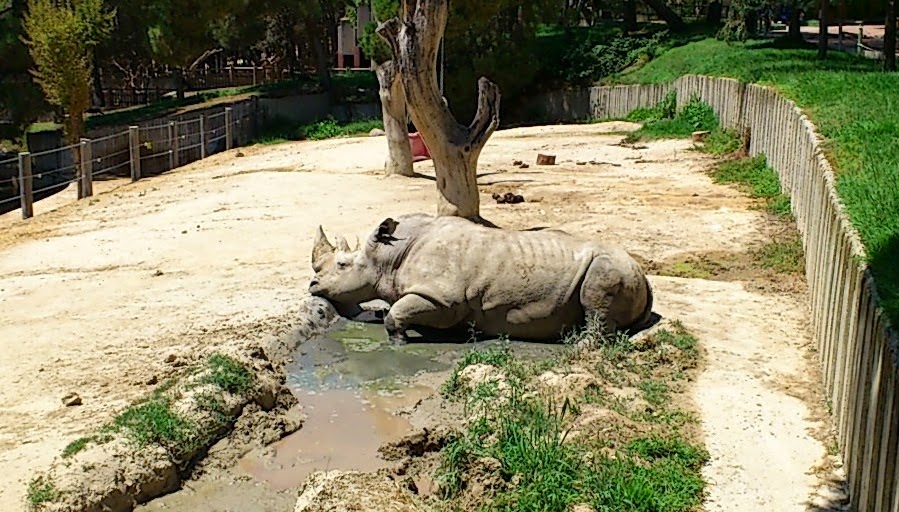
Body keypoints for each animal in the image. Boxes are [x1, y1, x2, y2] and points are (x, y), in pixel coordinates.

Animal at [308, 213, 653, 345]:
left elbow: (399, 312)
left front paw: (398, 339)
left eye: (342, 265)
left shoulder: (444, 299)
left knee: (596, 294)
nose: (312, 286)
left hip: (611, 265)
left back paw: (578, 345)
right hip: (626, 271)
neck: (387, 257)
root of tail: (644, 274)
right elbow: (397, 308)